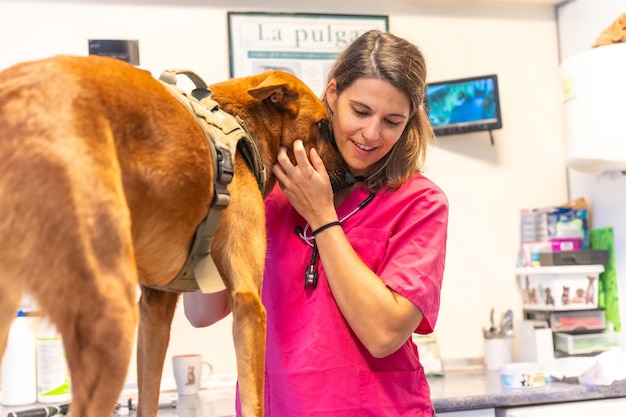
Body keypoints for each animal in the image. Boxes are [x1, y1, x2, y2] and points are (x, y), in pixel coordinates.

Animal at [0, 56, 352, 416]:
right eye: (323, 125)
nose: (353, 177)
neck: (241, 122)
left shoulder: (154, 307)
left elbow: (148, 398)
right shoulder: (248, 303)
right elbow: (254, 402)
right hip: (109, 317)